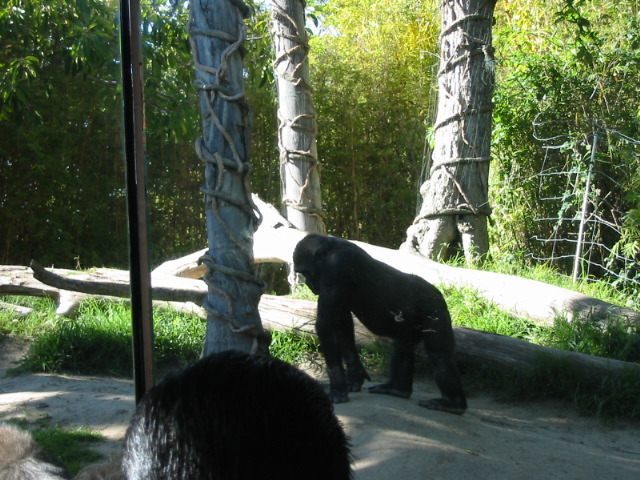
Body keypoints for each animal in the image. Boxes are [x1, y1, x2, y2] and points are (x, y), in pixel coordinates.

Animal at [294, 232, 464, 412]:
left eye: (306, 272)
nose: (309, 284)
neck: (328, 249)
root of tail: (438, 293)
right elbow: (341, 322)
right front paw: (355, 374)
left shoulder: (336, 265)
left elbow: (327, 324)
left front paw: (337, 386)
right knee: (403, 346)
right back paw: (397, 389)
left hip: (434, 308)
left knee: (439, 354)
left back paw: (452, 403)